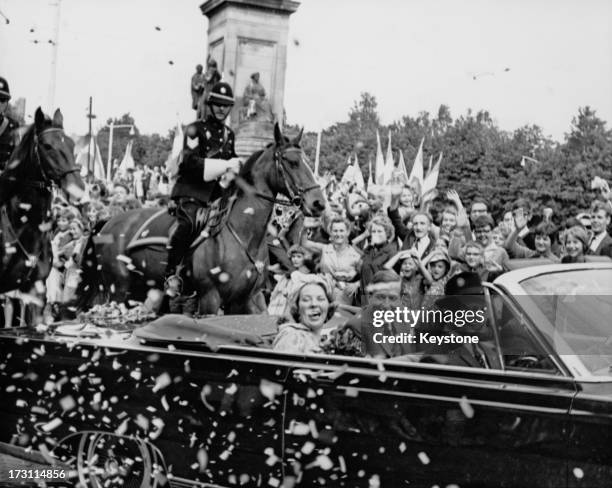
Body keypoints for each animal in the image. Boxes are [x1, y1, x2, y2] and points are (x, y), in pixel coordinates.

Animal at [79, 122, 328, 312]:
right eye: (291, 162)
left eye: (307, 161)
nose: (319, 203)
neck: (243, 233)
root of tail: (108, 222)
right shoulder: (210, 298)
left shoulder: (250, 299)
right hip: (118, 290)